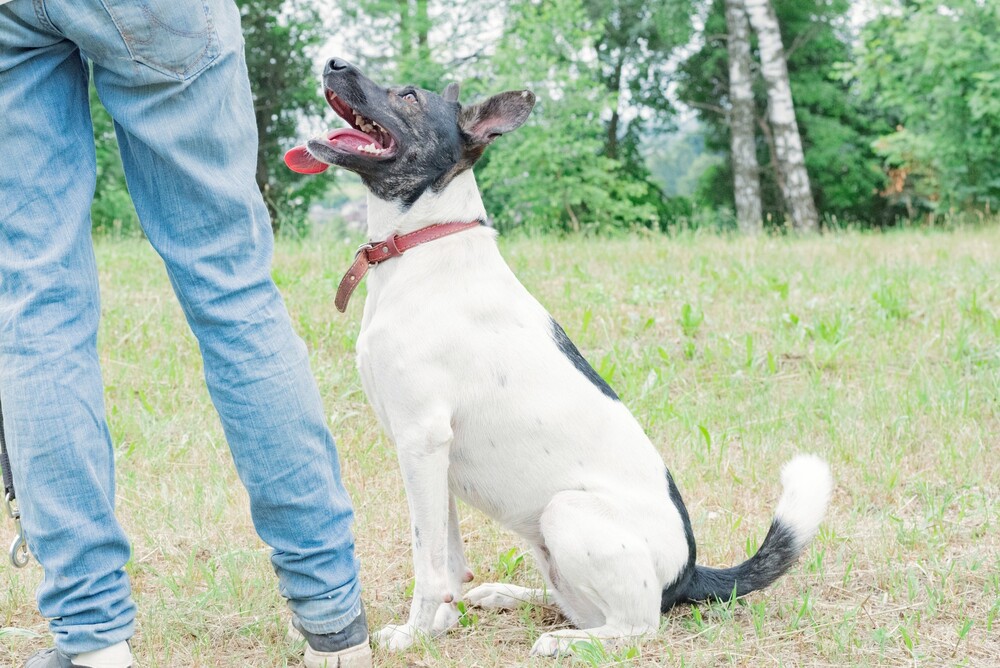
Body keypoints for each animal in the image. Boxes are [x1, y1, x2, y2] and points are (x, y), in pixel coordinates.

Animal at [286, 57, 832, 656]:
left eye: (407, 96)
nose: (334, 62)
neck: (426, 242)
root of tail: (689, 573)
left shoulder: (421, 440)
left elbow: (427, 563)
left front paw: (414, 635)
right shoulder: (431, 455)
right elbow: (448, 559)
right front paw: (441, 625)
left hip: (565, 512)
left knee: (637, 627)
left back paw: (567, 643)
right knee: (573, 603)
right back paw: (508, 596)